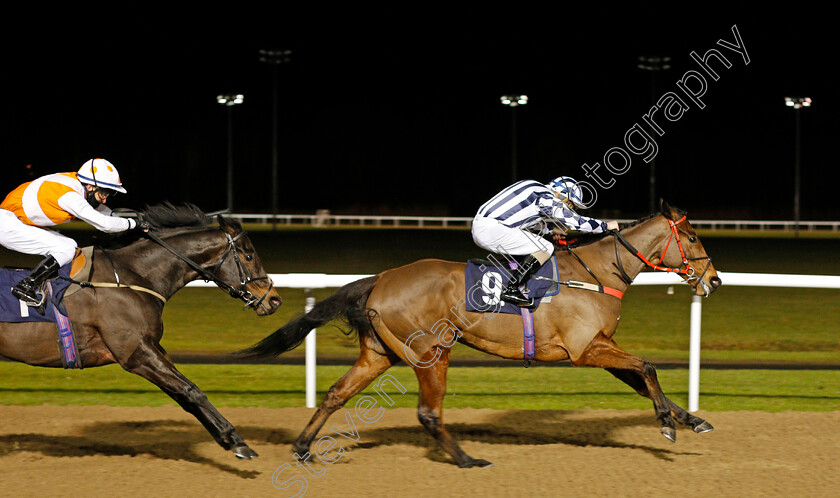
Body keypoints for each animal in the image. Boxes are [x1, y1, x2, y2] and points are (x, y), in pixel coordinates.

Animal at [0, 202, 284, 460]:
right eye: (249, 256)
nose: (274, 300)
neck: (130, 278)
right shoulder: (136, 352)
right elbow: (191, 390)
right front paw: (237, 441)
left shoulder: (152, 348)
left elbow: (184, 395)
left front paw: (227, 438)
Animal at [241, 200, 720, 468]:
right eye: (694, 237)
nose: (713, 280)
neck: (597, 274)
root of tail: (380, 278)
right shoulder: (586, 350)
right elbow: (648, 367)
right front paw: (667, 426)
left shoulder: (599, 345)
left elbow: (642, 379)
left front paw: (690, 419)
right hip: (431, 351)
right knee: (429, 413)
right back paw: (467, 459)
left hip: (378, 354)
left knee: (336, 394)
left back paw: (303, 447)